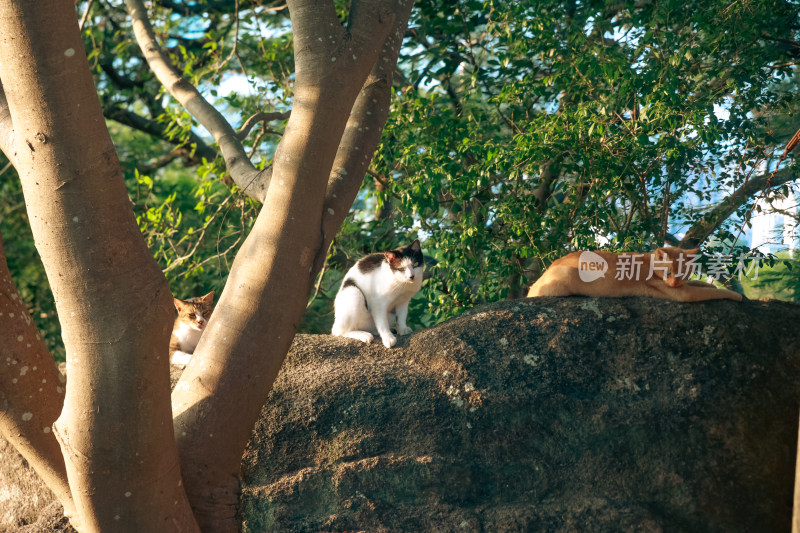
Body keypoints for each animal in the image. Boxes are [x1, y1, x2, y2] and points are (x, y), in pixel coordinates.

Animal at [524, 246, 744, 302]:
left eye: (682, 273)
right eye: (668, 272)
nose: (674, 283)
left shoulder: (684, 286)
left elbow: (704, 285)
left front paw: (711, 283)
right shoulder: (683, 294)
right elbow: (713, 292)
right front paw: (737, 296)